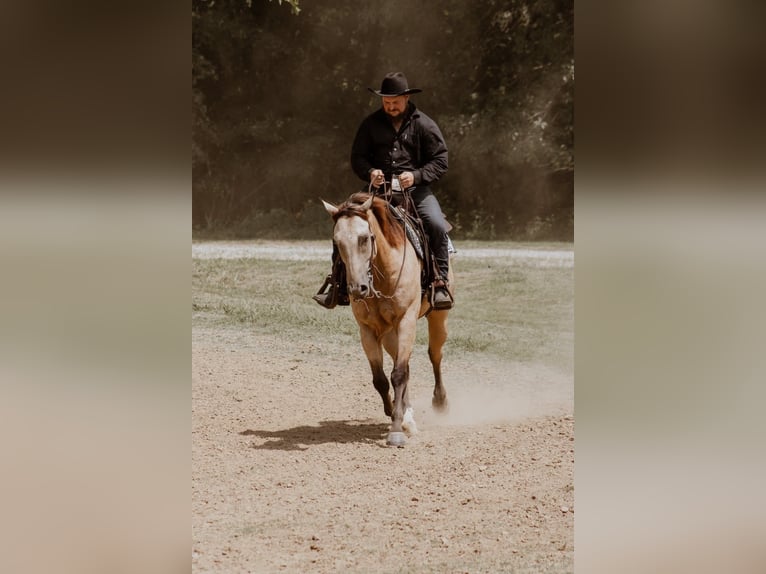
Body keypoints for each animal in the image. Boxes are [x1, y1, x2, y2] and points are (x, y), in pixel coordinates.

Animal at [321, 191, 453, 447]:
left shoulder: (406, 320)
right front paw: (395, 413)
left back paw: (440, 401)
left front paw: (396, 431)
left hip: (438, 317)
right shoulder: (366, 329)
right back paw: (408, 415)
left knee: (434, 354)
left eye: (365, 238)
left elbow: (399, 374)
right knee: (404, 364)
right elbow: (381, 379)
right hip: (391, 333)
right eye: (336, 242)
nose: (357, 289)